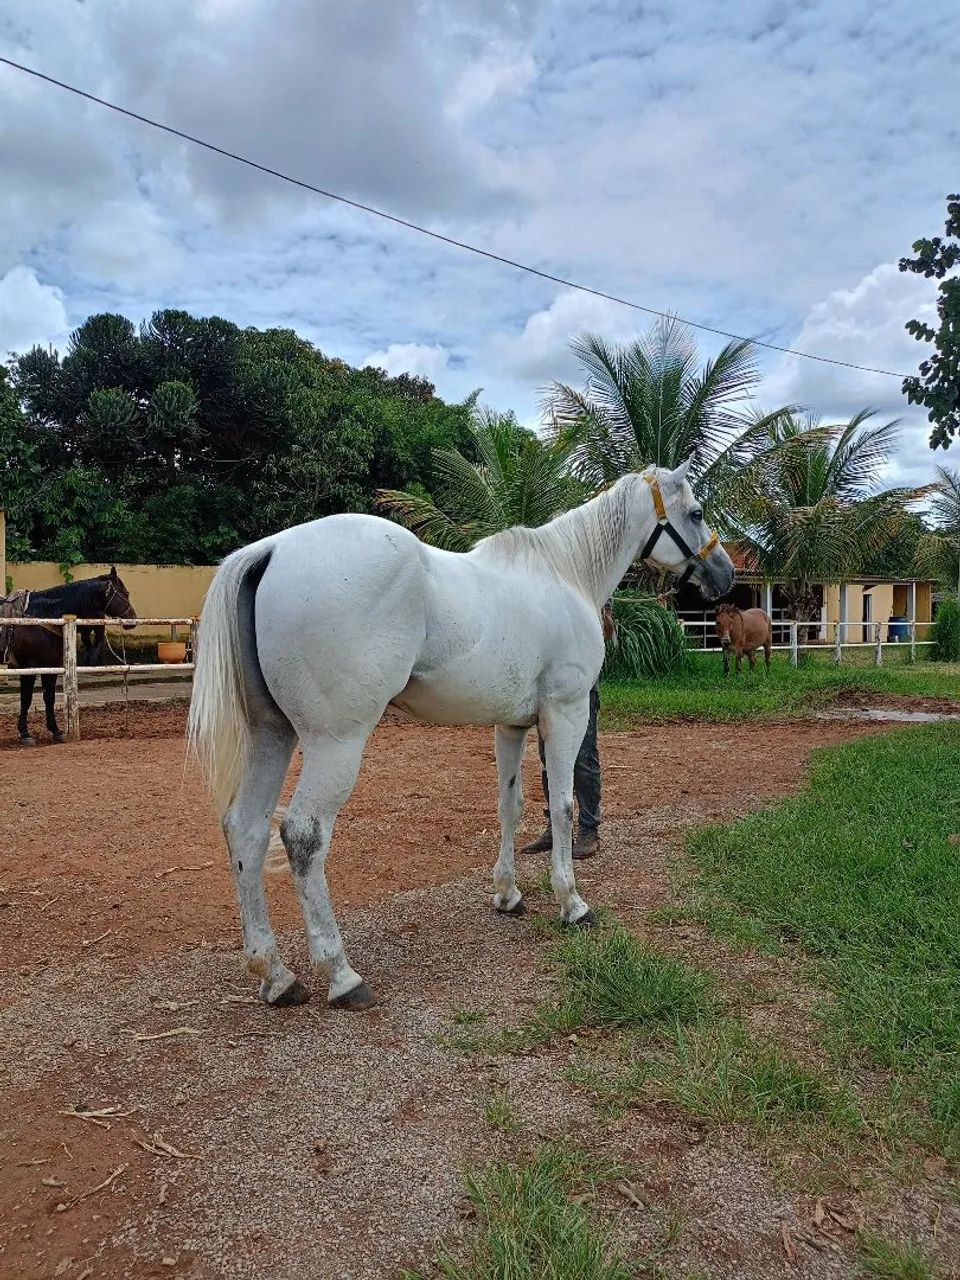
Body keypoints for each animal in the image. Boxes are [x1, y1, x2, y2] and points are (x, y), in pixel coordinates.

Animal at [2, 568, 137, 744]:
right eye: (125, 593)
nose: (132, 619)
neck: (41, 616)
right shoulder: (28, 666)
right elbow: (26, 699)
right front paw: (25, 734)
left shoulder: (50, 665)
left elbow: (49, 697)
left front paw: (56, 731)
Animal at [188, 461, 734, 1012]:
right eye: (696, 512)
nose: (725, 575)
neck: (563, 573)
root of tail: (272, 550)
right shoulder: (566, 712)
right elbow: (562, 806)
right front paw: (572, 902)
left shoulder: (511, 725)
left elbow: (511, 805)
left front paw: (508, 894)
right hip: (334, 742)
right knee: (303, 835)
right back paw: (341, 975)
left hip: (272, 735)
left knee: (246, 829)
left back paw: (275, 975)